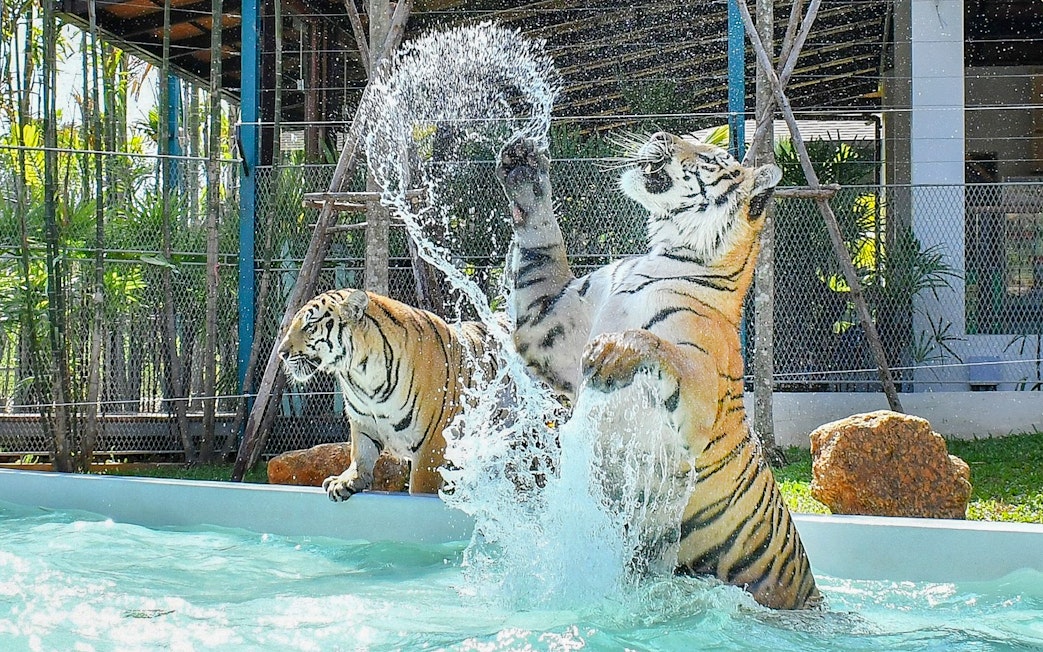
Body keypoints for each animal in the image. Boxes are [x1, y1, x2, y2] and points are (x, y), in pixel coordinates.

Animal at [278, 288, 495, 501]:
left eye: (309, 326)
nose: (281, 353)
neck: (361, 373)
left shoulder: (432, 443)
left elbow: (422, 487)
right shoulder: (362, 421)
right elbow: (361, 454)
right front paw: (345, 481)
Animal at [495, 133, 821, 610]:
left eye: (709, 156)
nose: (658, 136)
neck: (663, 257)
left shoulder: (699, 392)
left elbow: (665, 350)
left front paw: (614, 352)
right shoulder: (549, 324)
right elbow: (540, 250)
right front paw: (524, 168)